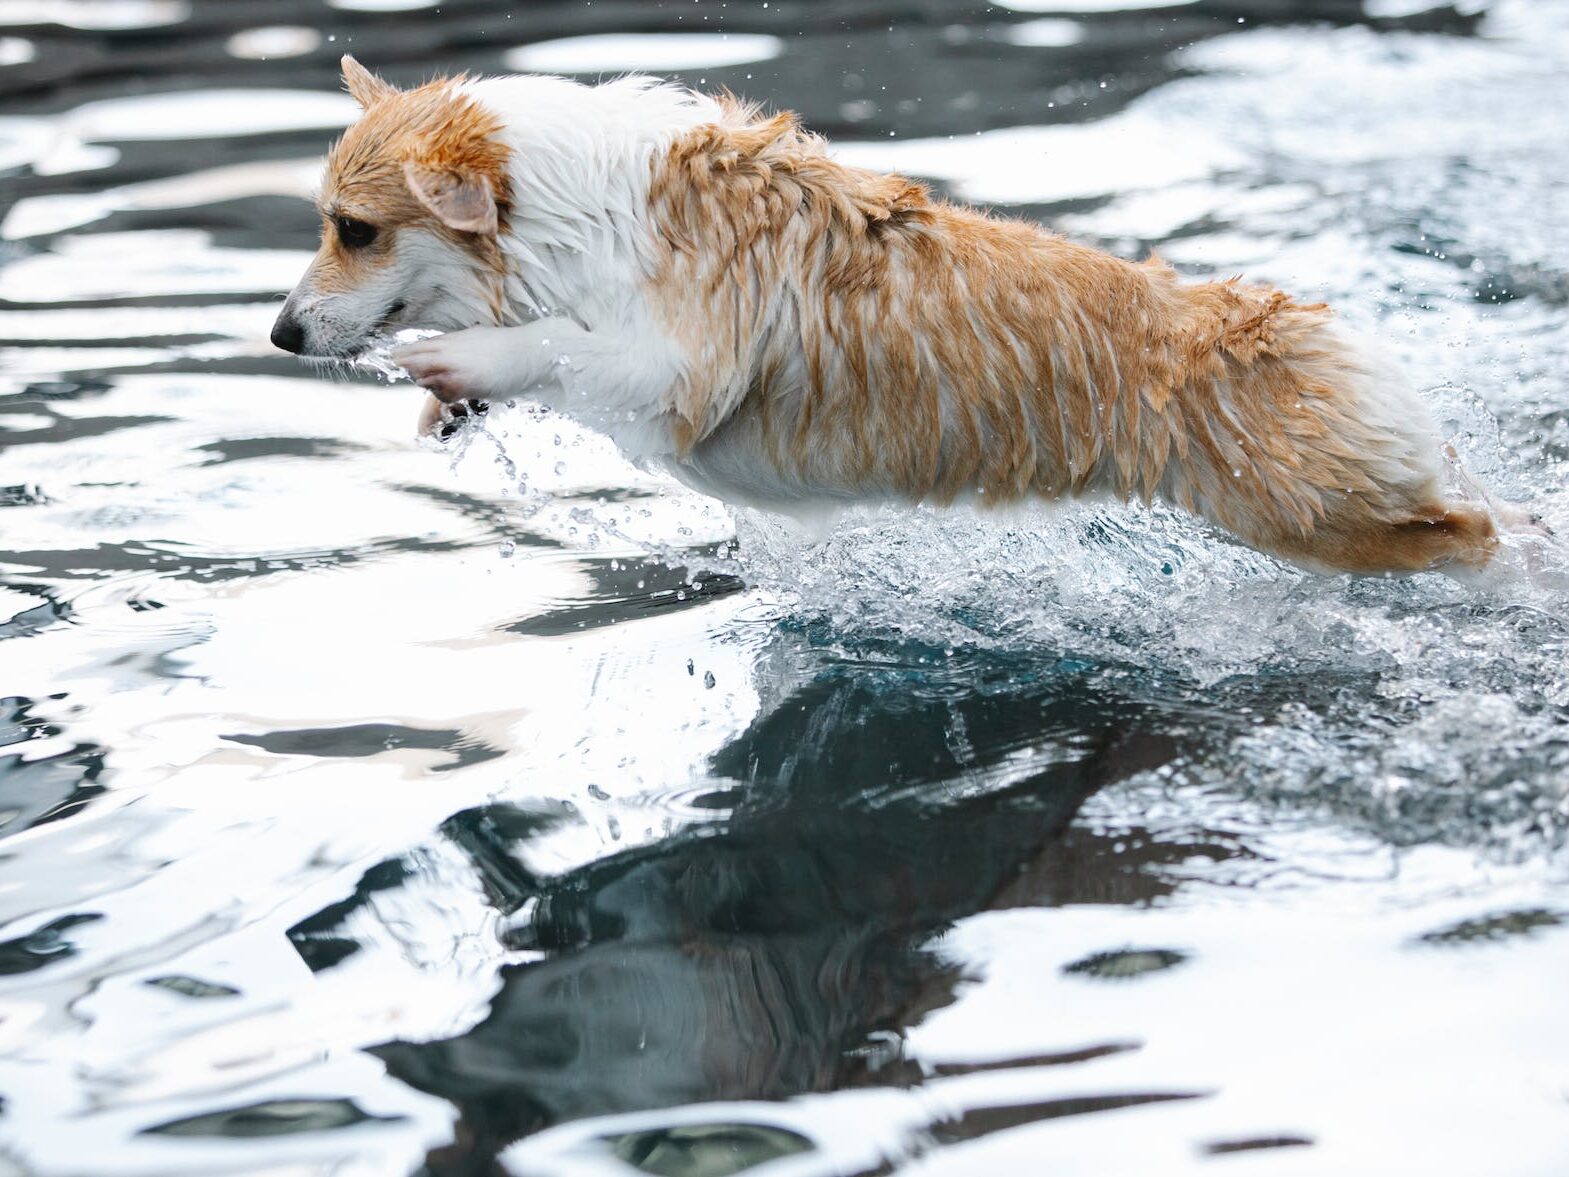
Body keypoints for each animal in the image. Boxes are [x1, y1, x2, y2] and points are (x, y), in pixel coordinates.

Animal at [273, 57, 1543, 577]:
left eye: (357, 230)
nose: (280, 335)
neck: (559, 208)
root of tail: (1293, 317)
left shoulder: (678, 370)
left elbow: (556, 347)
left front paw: (459, 356)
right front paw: (448, 402)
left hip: (1317, 516)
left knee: (1480, 534)